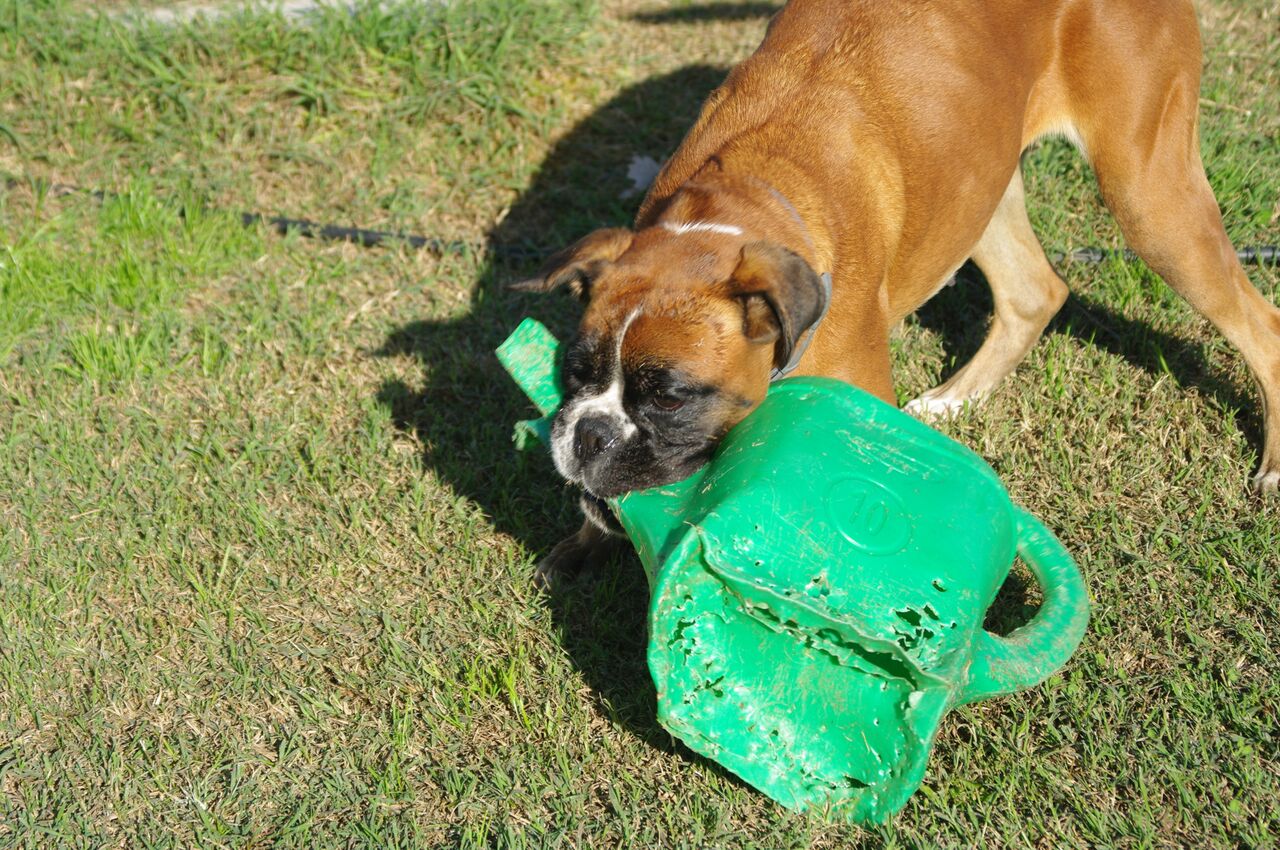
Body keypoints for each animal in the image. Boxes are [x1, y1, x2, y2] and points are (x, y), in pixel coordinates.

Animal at [514, 0, 1280, 582]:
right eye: (572, 371)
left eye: (670, 396)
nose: (586, 435)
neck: (746, 201)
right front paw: (579, 549)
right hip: (981, 185)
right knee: (1035, 291)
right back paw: (954, 398)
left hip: (1148, 195)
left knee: (1262, 326)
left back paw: (1272, 468)